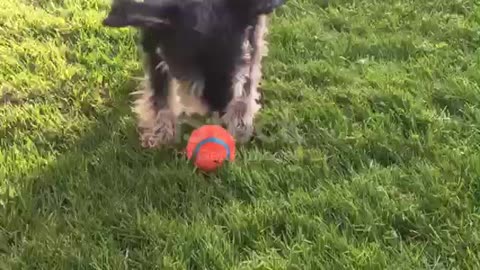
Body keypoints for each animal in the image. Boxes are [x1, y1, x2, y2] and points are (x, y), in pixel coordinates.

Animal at [101, 0, 284, 148]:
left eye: (233, 73)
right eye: (189, 76)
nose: (218, 112)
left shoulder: (253, 35)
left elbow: (249, 80)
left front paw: (240, 123)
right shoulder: (154, 37)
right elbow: (159, 89)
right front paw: (162, 132)